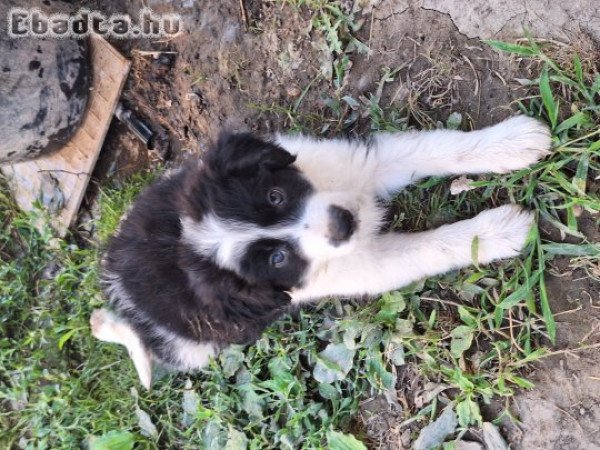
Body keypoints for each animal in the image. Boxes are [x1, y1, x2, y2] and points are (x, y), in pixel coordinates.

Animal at [90, 115, 552, 386]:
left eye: (275, 195)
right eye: (277, 259)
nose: (345, 223)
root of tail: (118, 280)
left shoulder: (357, 165)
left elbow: (436, 147)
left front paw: (513, 143)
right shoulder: (359, 265)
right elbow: (428, 247)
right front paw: (497, 232)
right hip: (195, 346)